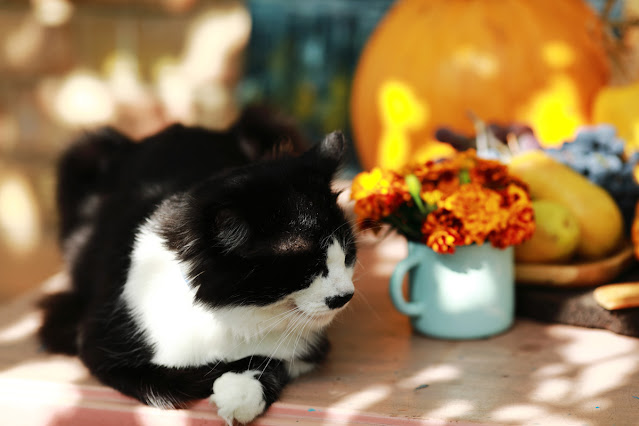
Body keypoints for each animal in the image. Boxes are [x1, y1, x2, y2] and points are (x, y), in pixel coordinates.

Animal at [39, 108, 358, 424]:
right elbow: (175, 383)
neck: (227, 315)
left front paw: (242, 393)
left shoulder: (310, 347)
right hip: (83, 151)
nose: (345, 296)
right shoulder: (101, 346)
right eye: (303, 264)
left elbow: (283, 356)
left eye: (347, 252)